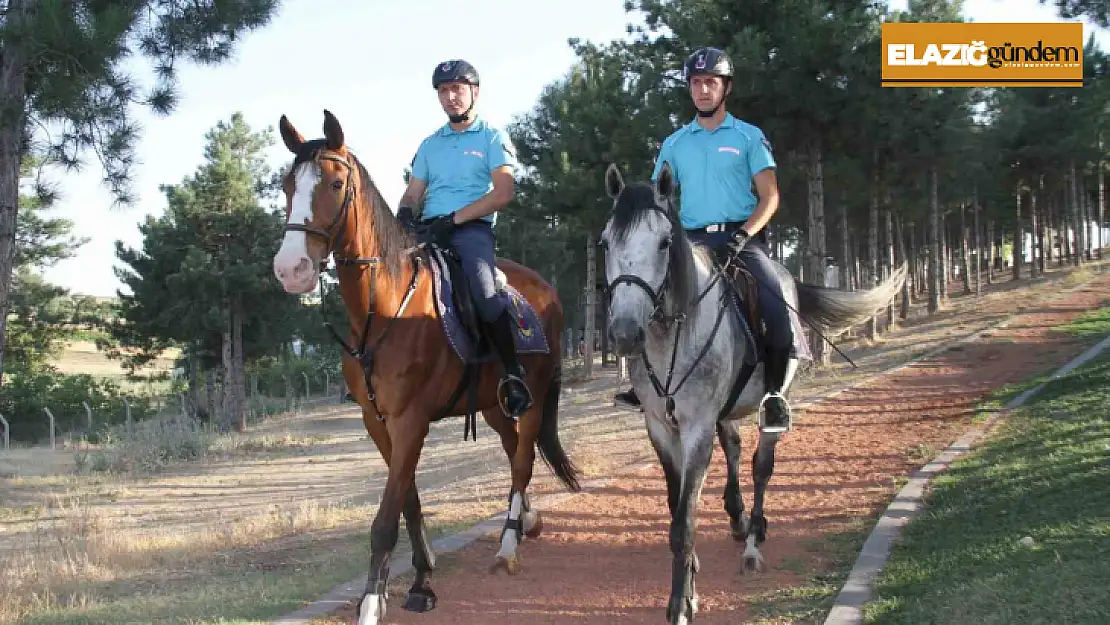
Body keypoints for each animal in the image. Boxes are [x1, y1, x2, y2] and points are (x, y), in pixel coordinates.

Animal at [270, 109, 581, 621]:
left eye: (335, 183)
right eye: (286, 185)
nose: (290, 269)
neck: (385, 307)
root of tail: (546, 290)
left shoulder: (410, 420)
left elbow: (386, 518)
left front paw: (372, 602)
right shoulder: (379, 422)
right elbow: (409, 501)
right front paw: (420, 581)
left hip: (533, 397)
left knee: (521, 462)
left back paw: (508, 547)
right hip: (493, 405)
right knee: (515, 447)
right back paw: (527, 521)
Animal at [603, 163, 905, 625]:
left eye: (664, 242)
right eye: (605, 243)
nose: (623, 333)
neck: (673, 335)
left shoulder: (696, 428)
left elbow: (684, 524)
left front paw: (681, 603)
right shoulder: (659, 427)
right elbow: (677, 506)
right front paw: (691, 576)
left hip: (772, 401)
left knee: (762, 464)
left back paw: (752, 542)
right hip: (722, 413)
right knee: (733, 446)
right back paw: (736, 516)